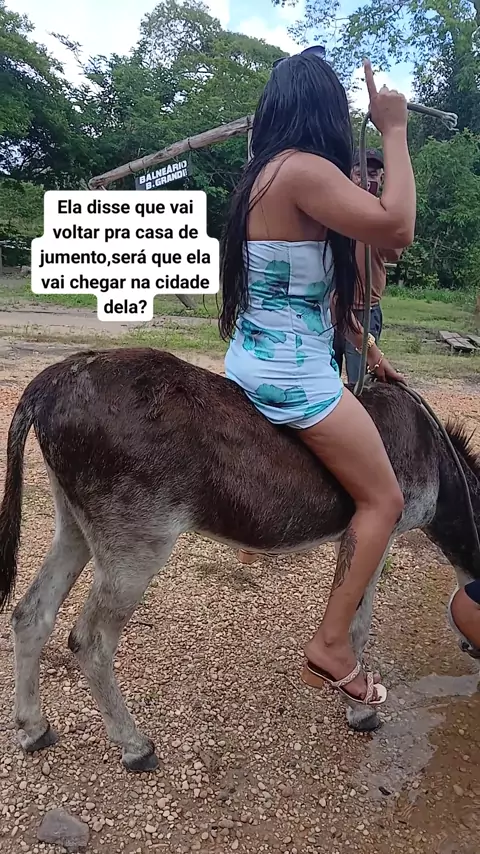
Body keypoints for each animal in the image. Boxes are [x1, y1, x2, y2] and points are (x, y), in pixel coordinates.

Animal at [0, 347, 479, 772]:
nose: (468, 650)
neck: (436, 456)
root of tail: (55, 379)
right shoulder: (380, 526)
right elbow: (359, 627)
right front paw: (360, 709)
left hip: (76, 525)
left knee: (31, 614)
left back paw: (34, 728)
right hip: (135, 546)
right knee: (91, 641)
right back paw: (134, 747)